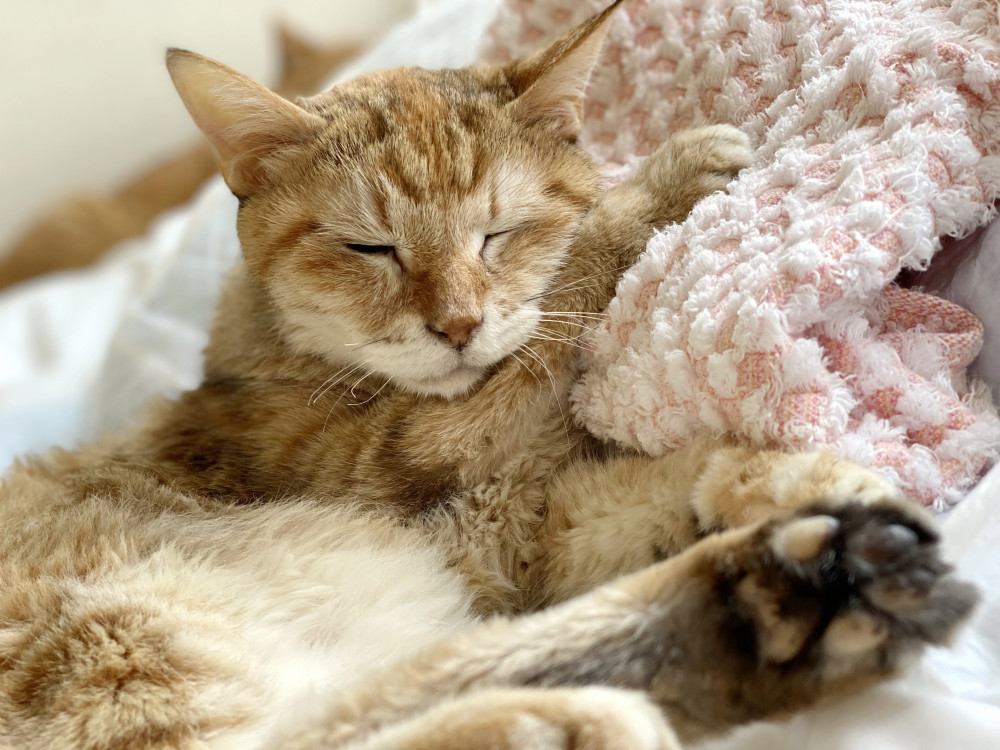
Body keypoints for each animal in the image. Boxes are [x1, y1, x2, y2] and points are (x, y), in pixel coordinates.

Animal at [0, 2, 972, 748]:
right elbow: (562, 303)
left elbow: (665, 481)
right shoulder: (410, 455)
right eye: (371, 249)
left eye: (497, 232)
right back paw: (572, 716)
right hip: (129, 638)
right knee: (317, 735)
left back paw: (788, 599)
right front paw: (654, 189)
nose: (458, 325)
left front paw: (791, 479)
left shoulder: (536, 537)